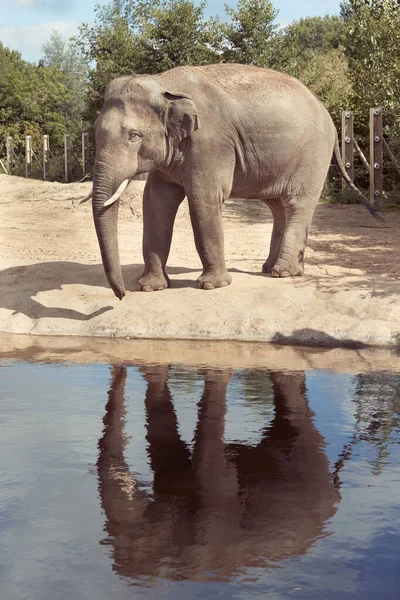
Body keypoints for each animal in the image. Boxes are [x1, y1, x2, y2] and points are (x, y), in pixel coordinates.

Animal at [90, 64, 382, 298]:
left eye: (134, 136)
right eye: (95, 132)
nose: (121, 295)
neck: (164, 83)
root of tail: (328, 113)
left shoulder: (210, 143)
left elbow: (203, 199)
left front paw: (212, 286)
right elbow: (156, 202)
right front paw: (150, 287)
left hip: (313, 154)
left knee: (297, 204)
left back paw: (284, 273)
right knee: (278, 207)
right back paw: (269, 268)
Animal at [97, 364, 340, 580]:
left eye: (137, 540)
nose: (119, 367)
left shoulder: (208, 527)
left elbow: (217, 476)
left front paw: (212, 373)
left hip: (310, 466)